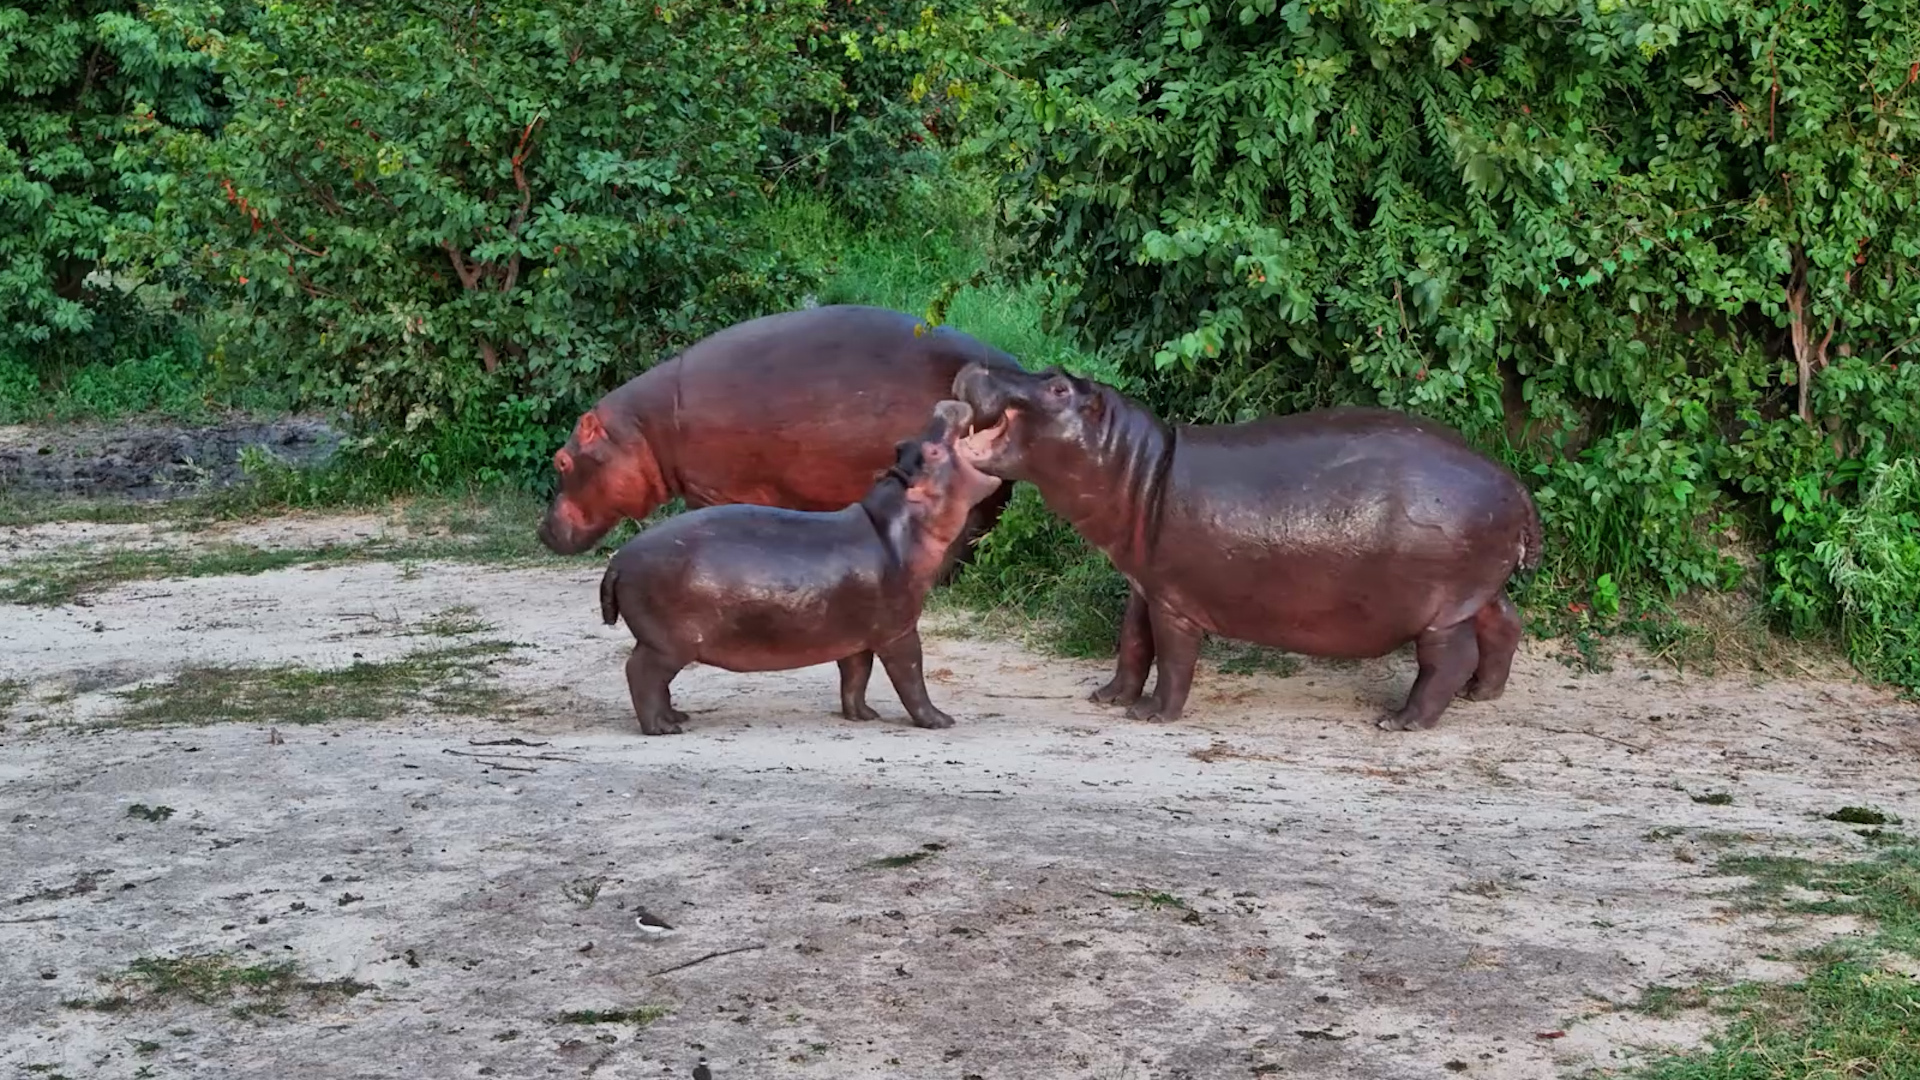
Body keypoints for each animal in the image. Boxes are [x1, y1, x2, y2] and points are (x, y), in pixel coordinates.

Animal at [596, 400, 1002, 735]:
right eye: (933, 451)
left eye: (904, 444)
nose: (944, 405)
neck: (897, 522)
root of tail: (618, 560)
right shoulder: (898, 631)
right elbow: (911, 677)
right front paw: (940, 720)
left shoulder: (856, 634)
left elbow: (855, 675)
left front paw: (863, 715)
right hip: (667, 644)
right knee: (641, 674)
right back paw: (663, 728)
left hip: (662, 643)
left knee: (657, 682)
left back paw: (678, 716)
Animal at [952, 365, 1542, 731]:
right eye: (1050, 372)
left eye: (1057, 389)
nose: (976, 368)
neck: (1136, 465)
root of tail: (1514, 485)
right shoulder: (1144, 585)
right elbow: (1132, 644)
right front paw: (1108, 698)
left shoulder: (1175, 602)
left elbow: (1173, 658)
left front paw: (1151, 716)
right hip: (1477, 590)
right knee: (1504, 624)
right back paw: (1480, 695)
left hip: (1441, 606)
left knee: (1449, 658)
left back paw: (1400, 721)